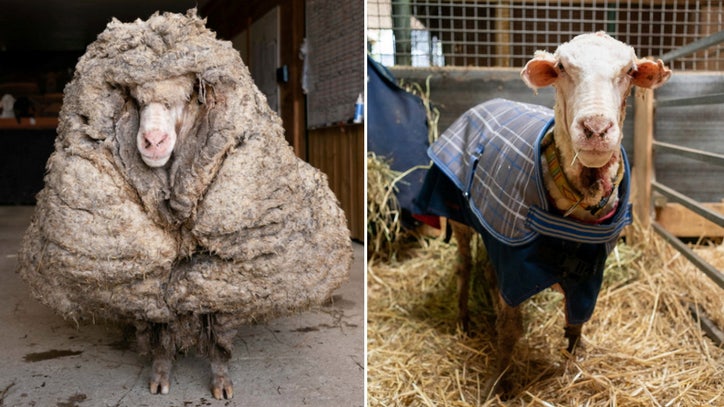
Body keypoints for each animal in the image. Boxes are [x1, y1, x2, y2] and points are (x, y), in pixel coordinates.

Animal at [17, 10, 352, 400]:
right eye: (134, 99)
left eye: (190, 96)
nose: (153, 140)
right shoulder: (148, 282)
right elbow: (159, 322)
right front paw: (161, 373)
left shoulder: (225, 273)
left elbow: (218, 325)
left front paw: (221, 380)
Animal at [416, 32, 670, 396]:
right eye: (562, 67)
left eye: (630, 71)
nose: (596, 128)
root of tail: (484, 104)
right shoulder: (515, 265)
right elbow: (510, 329)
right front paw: (496, 384)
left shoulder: (589, 271)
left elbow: (577, 322)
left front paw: (576, 363)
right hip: (458, 217)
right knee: (464, 267)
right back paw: (463, 319)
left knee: (488, 272)